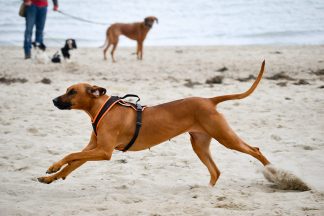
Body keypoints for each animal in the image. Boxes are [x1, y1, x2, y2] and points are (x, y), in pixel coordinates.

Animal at [37, 61, 270, 186]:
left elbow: (71, 155)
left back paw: (272, 171)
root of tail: (209, 100)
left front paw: (53, 166)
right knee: (215, 171)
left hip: (225, 136)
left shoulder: (103, 151)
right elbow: (73, 162)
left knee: (255, 150)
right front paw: (52, 176)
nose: (53, 100)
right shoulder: (93, 148)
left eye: (72, 92)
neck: (102, 108)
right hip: (200, 143)